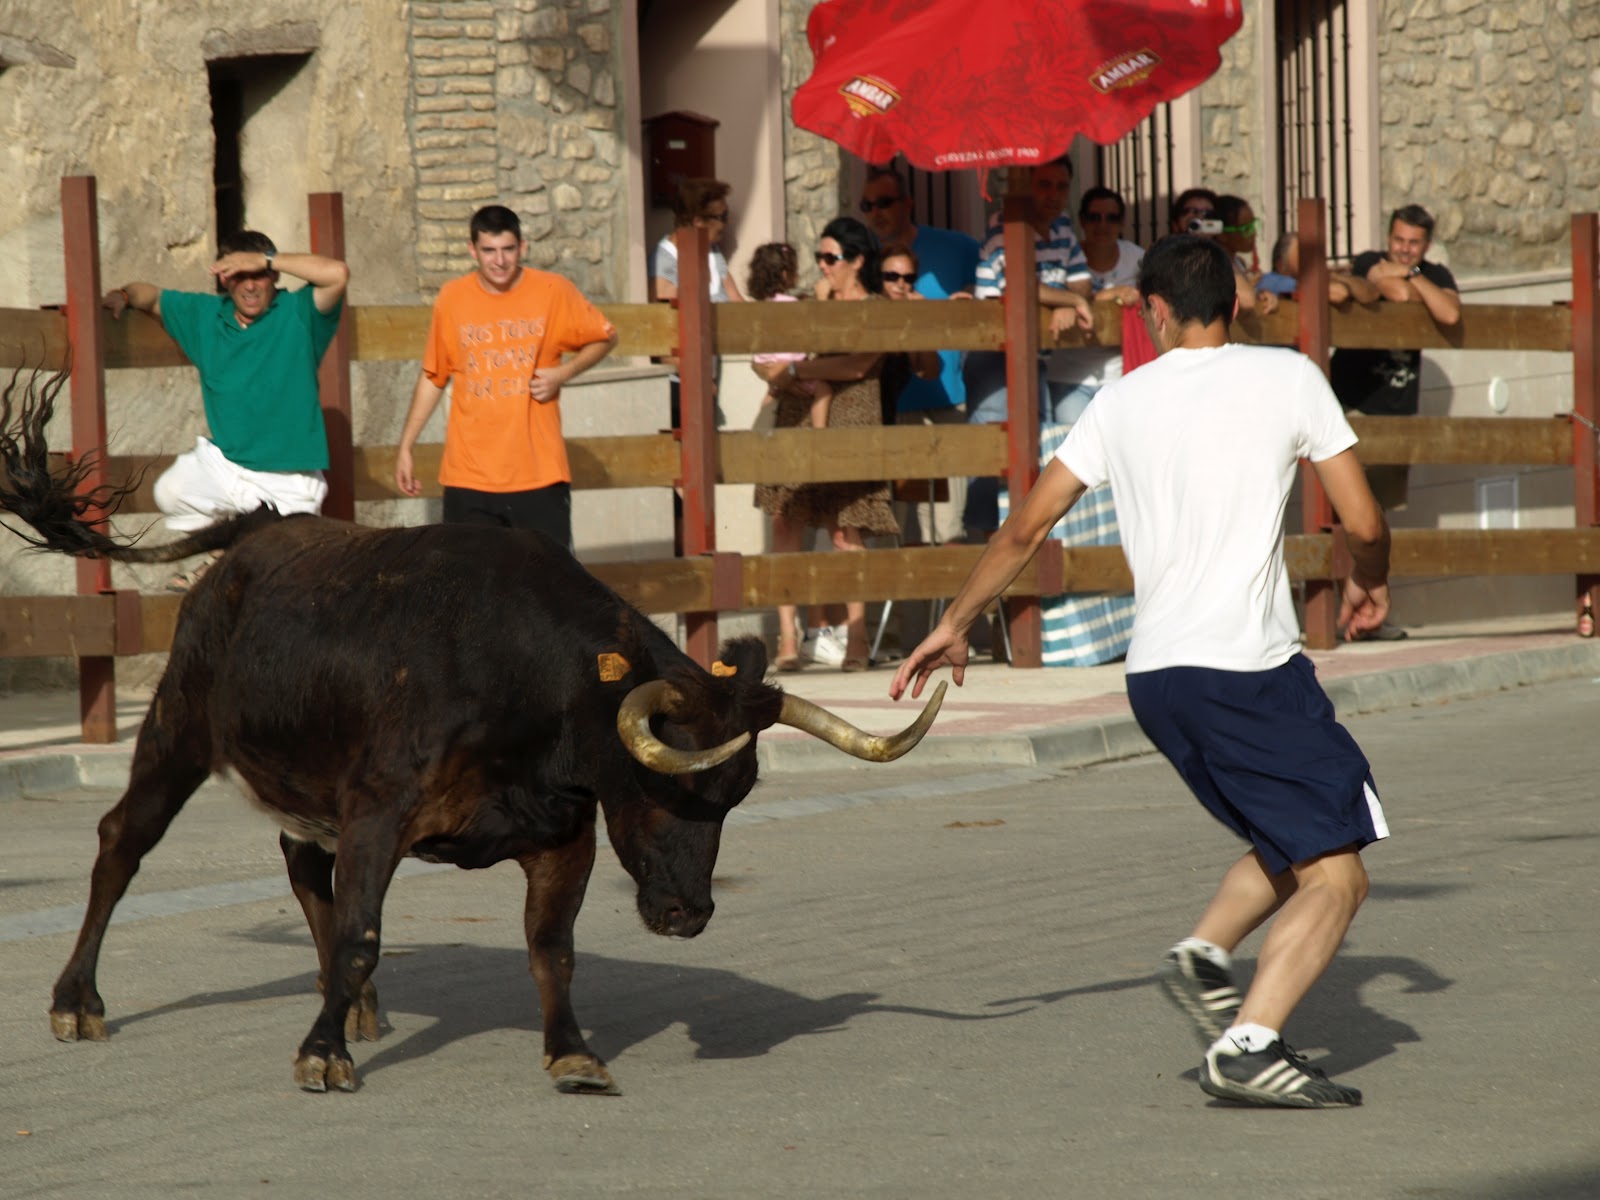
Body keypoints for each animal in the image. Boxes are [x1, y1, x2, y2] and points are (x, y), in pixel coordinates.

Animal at [0, 368, 945, 1096]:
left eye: (734, 797)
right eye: (660, 786)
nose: (687, 915)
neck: (528, 689)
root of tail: (260, 529)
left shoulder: (562, 835)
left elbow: (551, 946)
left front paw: (572, 1054)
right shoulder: (380, 812)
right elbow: (364, 931)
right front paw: (321, 1055)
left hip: (301, 778)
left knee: (303, 868)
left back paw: (360, 1007)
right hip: (178, 730)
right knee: (124, 842)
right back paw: (78, 1002)